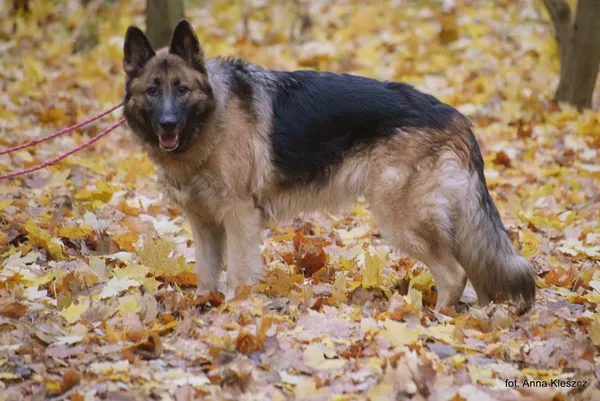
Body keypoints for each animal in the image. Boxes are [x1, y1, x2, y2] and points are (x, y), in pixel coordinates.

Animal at [120, 19, 536, 310]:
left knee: (454, 274)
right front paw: (205, 307)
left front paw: (235, 314)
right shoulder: (204, 223)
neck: (211, 119)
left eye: (182, 89)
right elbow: (206, 275)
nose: (167, 124)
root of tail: (456, 116)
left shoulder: (239, 217)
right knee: (476, 271)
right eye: (153, 91)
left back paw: (436, 322)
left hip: (403, 220)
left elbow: (238, 274)